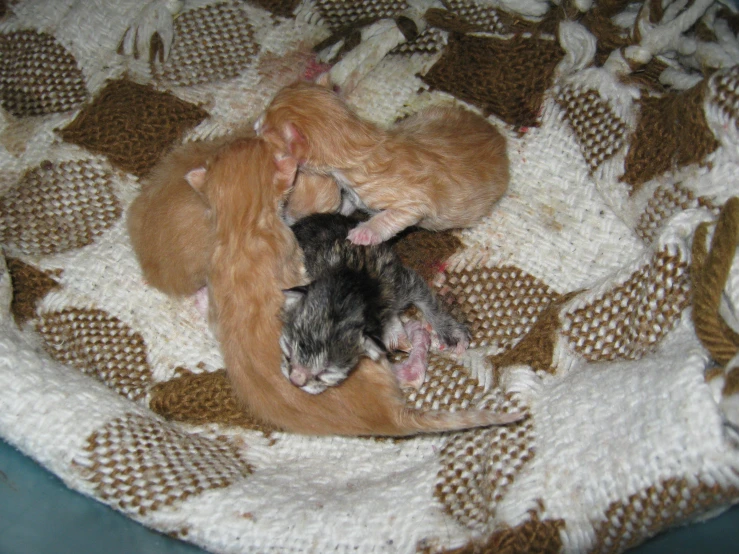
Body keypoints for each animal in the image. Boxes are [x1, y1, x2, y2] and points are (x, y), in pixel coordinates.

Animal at [258, 77, 512, 244]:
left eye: (265, 125)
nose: (256, 123)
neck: (362, 146)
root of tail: (500, 138)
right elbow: (348, 201)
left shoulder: (413, 202)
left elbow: (388, 217)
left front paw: (365, 231)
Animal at [280, 211, 472, 392]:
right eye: (288, 351)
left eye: (327, 371)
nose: (295, 380)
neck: (354, 279)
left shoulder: (400, 282)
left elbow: (428, 302)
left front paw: (452, 332)